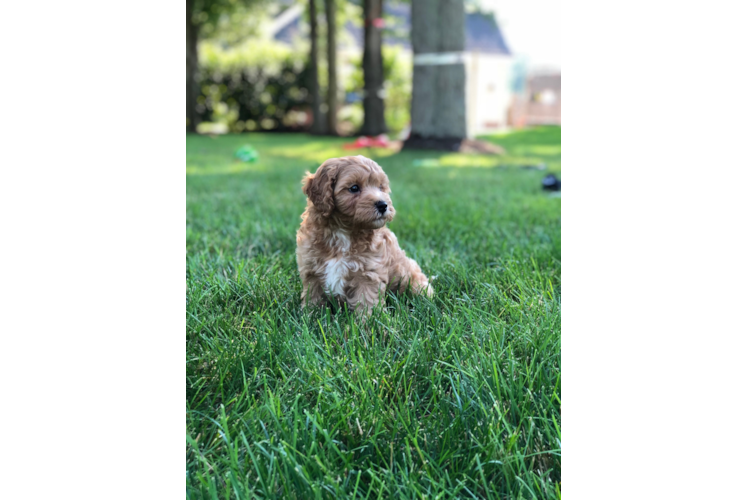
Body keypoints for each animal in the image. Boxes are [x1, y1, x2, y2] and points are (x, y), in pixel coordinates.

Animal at [296, 154, 432, 314]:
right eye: (354, 188)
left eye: (381, 187)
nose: (383, 205)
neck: (343, 232)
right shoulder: (311, 269)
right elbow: (313, 297)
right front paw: (310, 315)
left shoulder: (369, 273)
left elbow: (367, 301)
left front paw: (369, 320)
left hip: (413, 280)